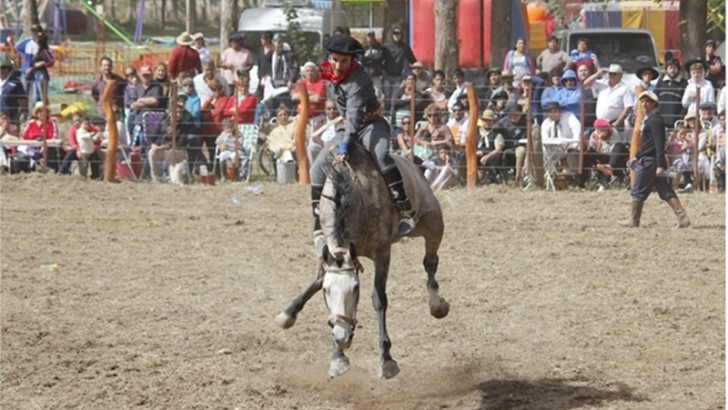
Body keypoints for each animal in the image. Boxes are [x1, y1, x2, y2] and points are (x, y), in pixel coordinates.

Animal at [274, 143, 450, 380]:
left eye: (356, 289)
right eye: (327, 292)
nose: (341, 336)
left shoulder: (383, 254)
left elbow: (379, 299)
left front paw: (387, 360)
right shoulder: (326, 253)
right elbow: (317, 282)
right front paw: (337, 356)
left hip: (433, 223)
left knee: (430, 263)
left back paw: (437, 305)